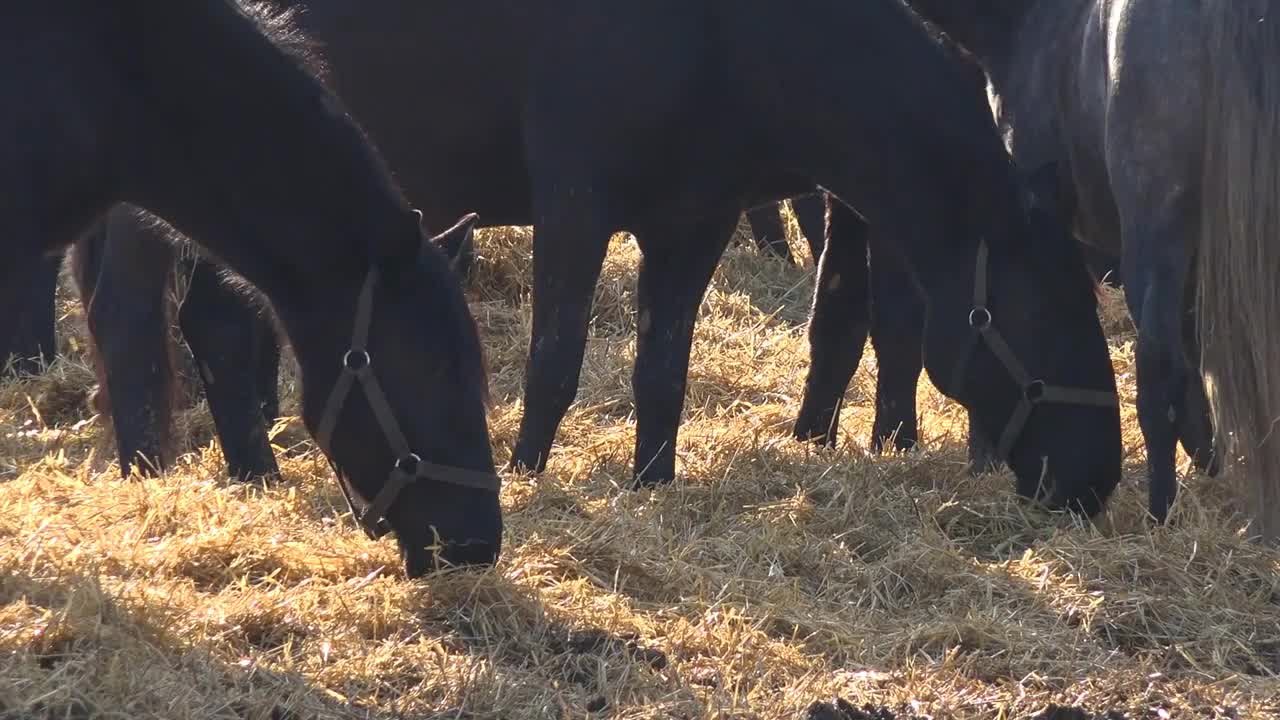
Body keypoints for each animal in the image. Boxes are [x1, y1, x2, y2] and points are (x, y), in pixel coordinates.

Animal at [77, 0, 1121, 515]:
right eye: (1043, 315)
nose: (1101, 479)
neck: (725, 38)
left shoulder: (693, 222)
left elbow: (663, 369)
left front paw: (652, 480)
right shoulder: (574, 200)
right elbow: (556, 358)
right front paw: (531, 471)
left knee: (217, 319)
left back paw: (255, 470)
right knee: (131, 318)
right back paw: (151, 464)